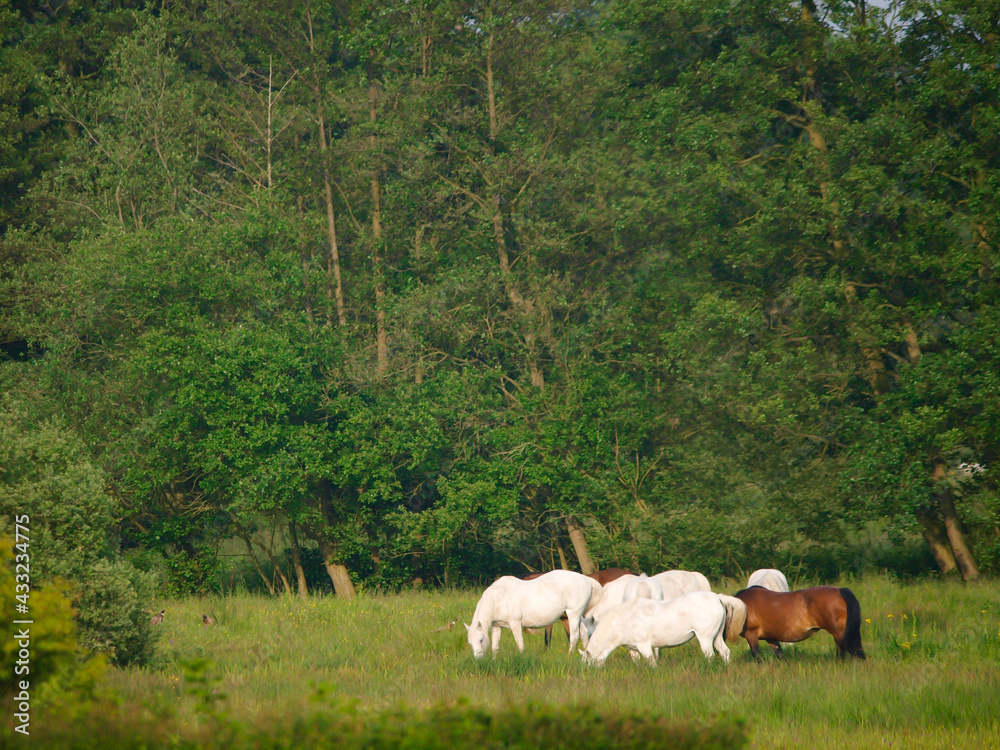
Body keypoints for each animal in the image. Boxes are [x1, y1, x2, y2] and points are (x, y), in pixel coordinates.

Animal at [462, 572, 600, 660]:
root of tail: (585, 579)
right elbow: (495, 647)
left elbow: (520, 645)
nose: (478, 659)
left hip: (573, 615)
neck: (499, 597)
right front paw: (494, 661)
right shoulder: (496, 626)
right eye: (470, 642)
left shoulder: (515, 623)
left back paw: (569, 655)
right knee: (583, 634)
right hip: (578, 616)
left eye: (481, 640)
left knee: (574, 636)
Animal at [584, 592, 740, 668]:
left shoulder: (644, 645)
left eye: (588, 662)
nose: (589, 673)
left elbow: (651, 661)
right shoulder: (633, 648)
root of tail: (717, 597)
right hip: (717, 636)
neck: (623, 620)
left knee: (710, 655)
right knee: (725, 652)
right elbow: (636, 661)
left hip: (705, 637)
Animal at [736, 584, 868, 660]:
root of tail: (840, 590)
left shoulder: (751, 634)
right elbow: (780, 655)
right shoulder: (770, 637)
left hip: (839, 634)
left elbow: (757, 656)